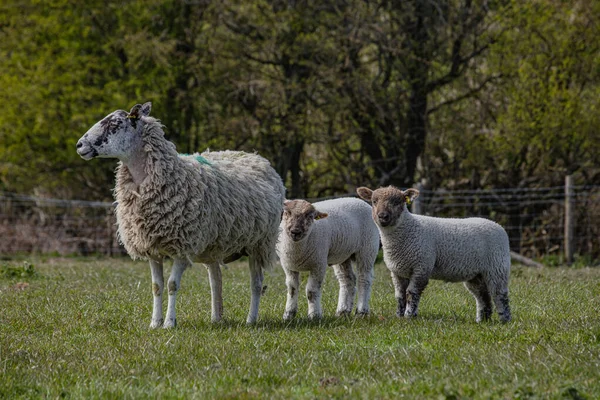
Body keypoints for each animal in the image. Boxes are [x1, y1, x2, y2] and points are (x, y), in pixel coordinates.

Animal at [75, 103, 286, 328]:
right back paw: (216, 318)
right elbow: (156, 286)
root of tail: (256, 157)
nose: (79, 145)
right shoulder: (151, 248)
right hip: (214, 244)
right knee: (216, 280)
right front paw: (154, 323)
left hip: (259, 243)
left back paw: (250, 319)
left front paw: (169, 323)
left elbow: (172, 285)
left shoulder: (182, 247)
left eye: (115, 124)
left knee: (256, 284)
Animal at [356, 186, 510, 324]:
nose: (383, 216)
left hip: (497, 267)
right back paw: (482, 320)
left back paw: (505, 320)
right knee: (483, 296)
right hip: (476, 274)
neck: (407, 230)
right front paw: (399, 316)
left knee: (500, 294)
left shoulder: (422, 266)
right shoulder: (397, 271)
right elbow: (400, 295)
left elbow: (411, 293)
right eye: (374, 201)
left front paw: (409, 316)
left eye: (397, 201)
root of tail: (499, 227)